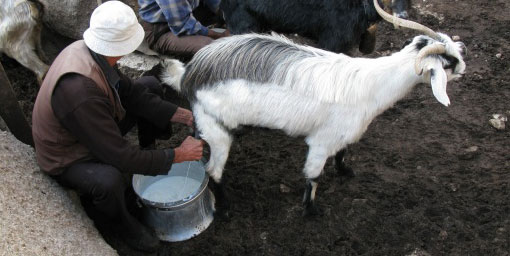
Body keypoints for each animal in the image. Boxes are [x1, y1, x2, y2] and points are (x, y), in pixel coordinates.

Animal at [162, 0, 466, 216]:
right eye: (448, 61)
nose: (463, 68)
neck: (371, 84)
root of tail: (189, 74)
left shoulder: (343, 134)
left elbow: (343, 152)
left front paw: (345, 172)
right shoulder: (321, 142)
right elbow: (313, 176)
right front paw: (311, 210)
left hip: (206, 125)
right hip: (217, 130)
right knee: (213, 171)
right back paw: (224, 209)